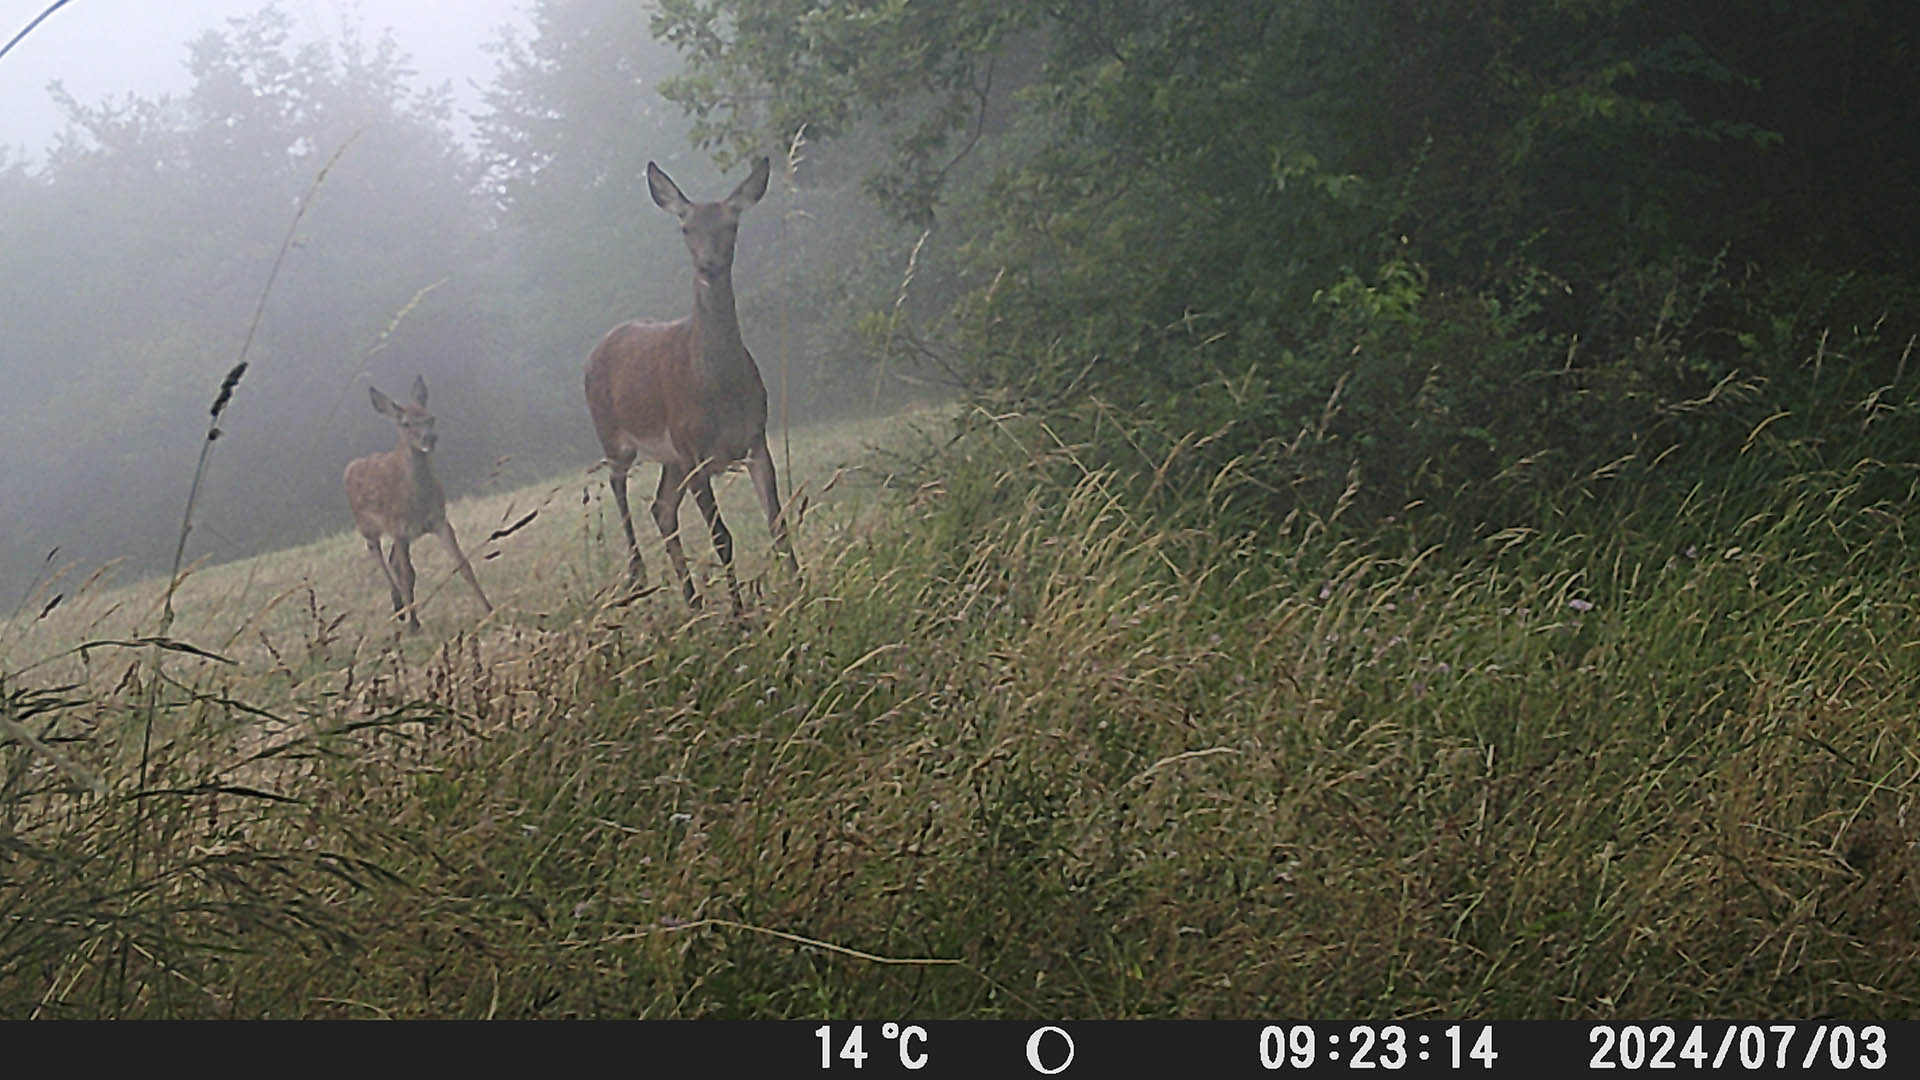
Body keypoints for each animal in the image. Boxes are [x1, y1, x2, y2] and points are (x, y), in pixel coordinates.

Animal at [345, 376, 495, 630]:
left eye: (431, 418)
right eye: (405, 423)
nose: (430, 438)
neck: (417, 500)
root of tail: (349, 467)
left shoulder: (439, 520)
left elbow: (463, 564)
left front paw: (489, 609)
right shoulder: (397, 525)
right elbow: (406, 575)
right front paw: (413, 626)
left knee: (394, 562)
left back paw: (403, 607)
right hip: (367, 526)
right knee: (379, 556)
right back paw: (400, 607)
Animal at [583, 152, 794, 611]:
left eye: (731, 224)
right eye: (685, 227)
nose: (708, 264)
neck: (717, 388)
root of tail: (598, 346)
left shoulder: (756, 439)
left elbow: (778, 523)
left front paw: (803, 592)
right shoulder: (693, 450)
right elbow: (722, 538)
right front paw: (740, 616)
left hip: (670, 458)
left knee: (661, 509)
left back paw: (692, 601)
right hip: (615, 435)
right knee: (618, 483)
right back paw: (637, 572)